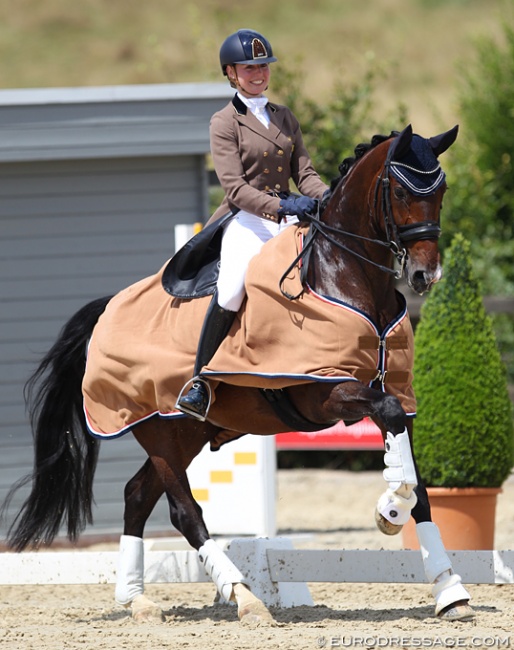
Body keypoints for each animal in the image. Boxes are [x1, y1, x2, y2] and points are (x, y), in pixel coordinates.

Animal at [1, 123, 472, 624]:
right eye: (400, 191)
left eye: (441, 190)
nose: (425, 275)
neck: (344, 274)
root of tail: (106, 310)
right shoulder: (326, 392)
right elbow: (392, 433)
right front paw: (390, 506)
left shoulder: (399, 396)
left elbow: (420, 486)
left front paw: (449, 590)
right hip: (159, 429)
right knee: (183, 512)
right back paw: (245, 597)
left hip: (184, 432)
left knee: (136, 495)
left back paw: (137, 600)